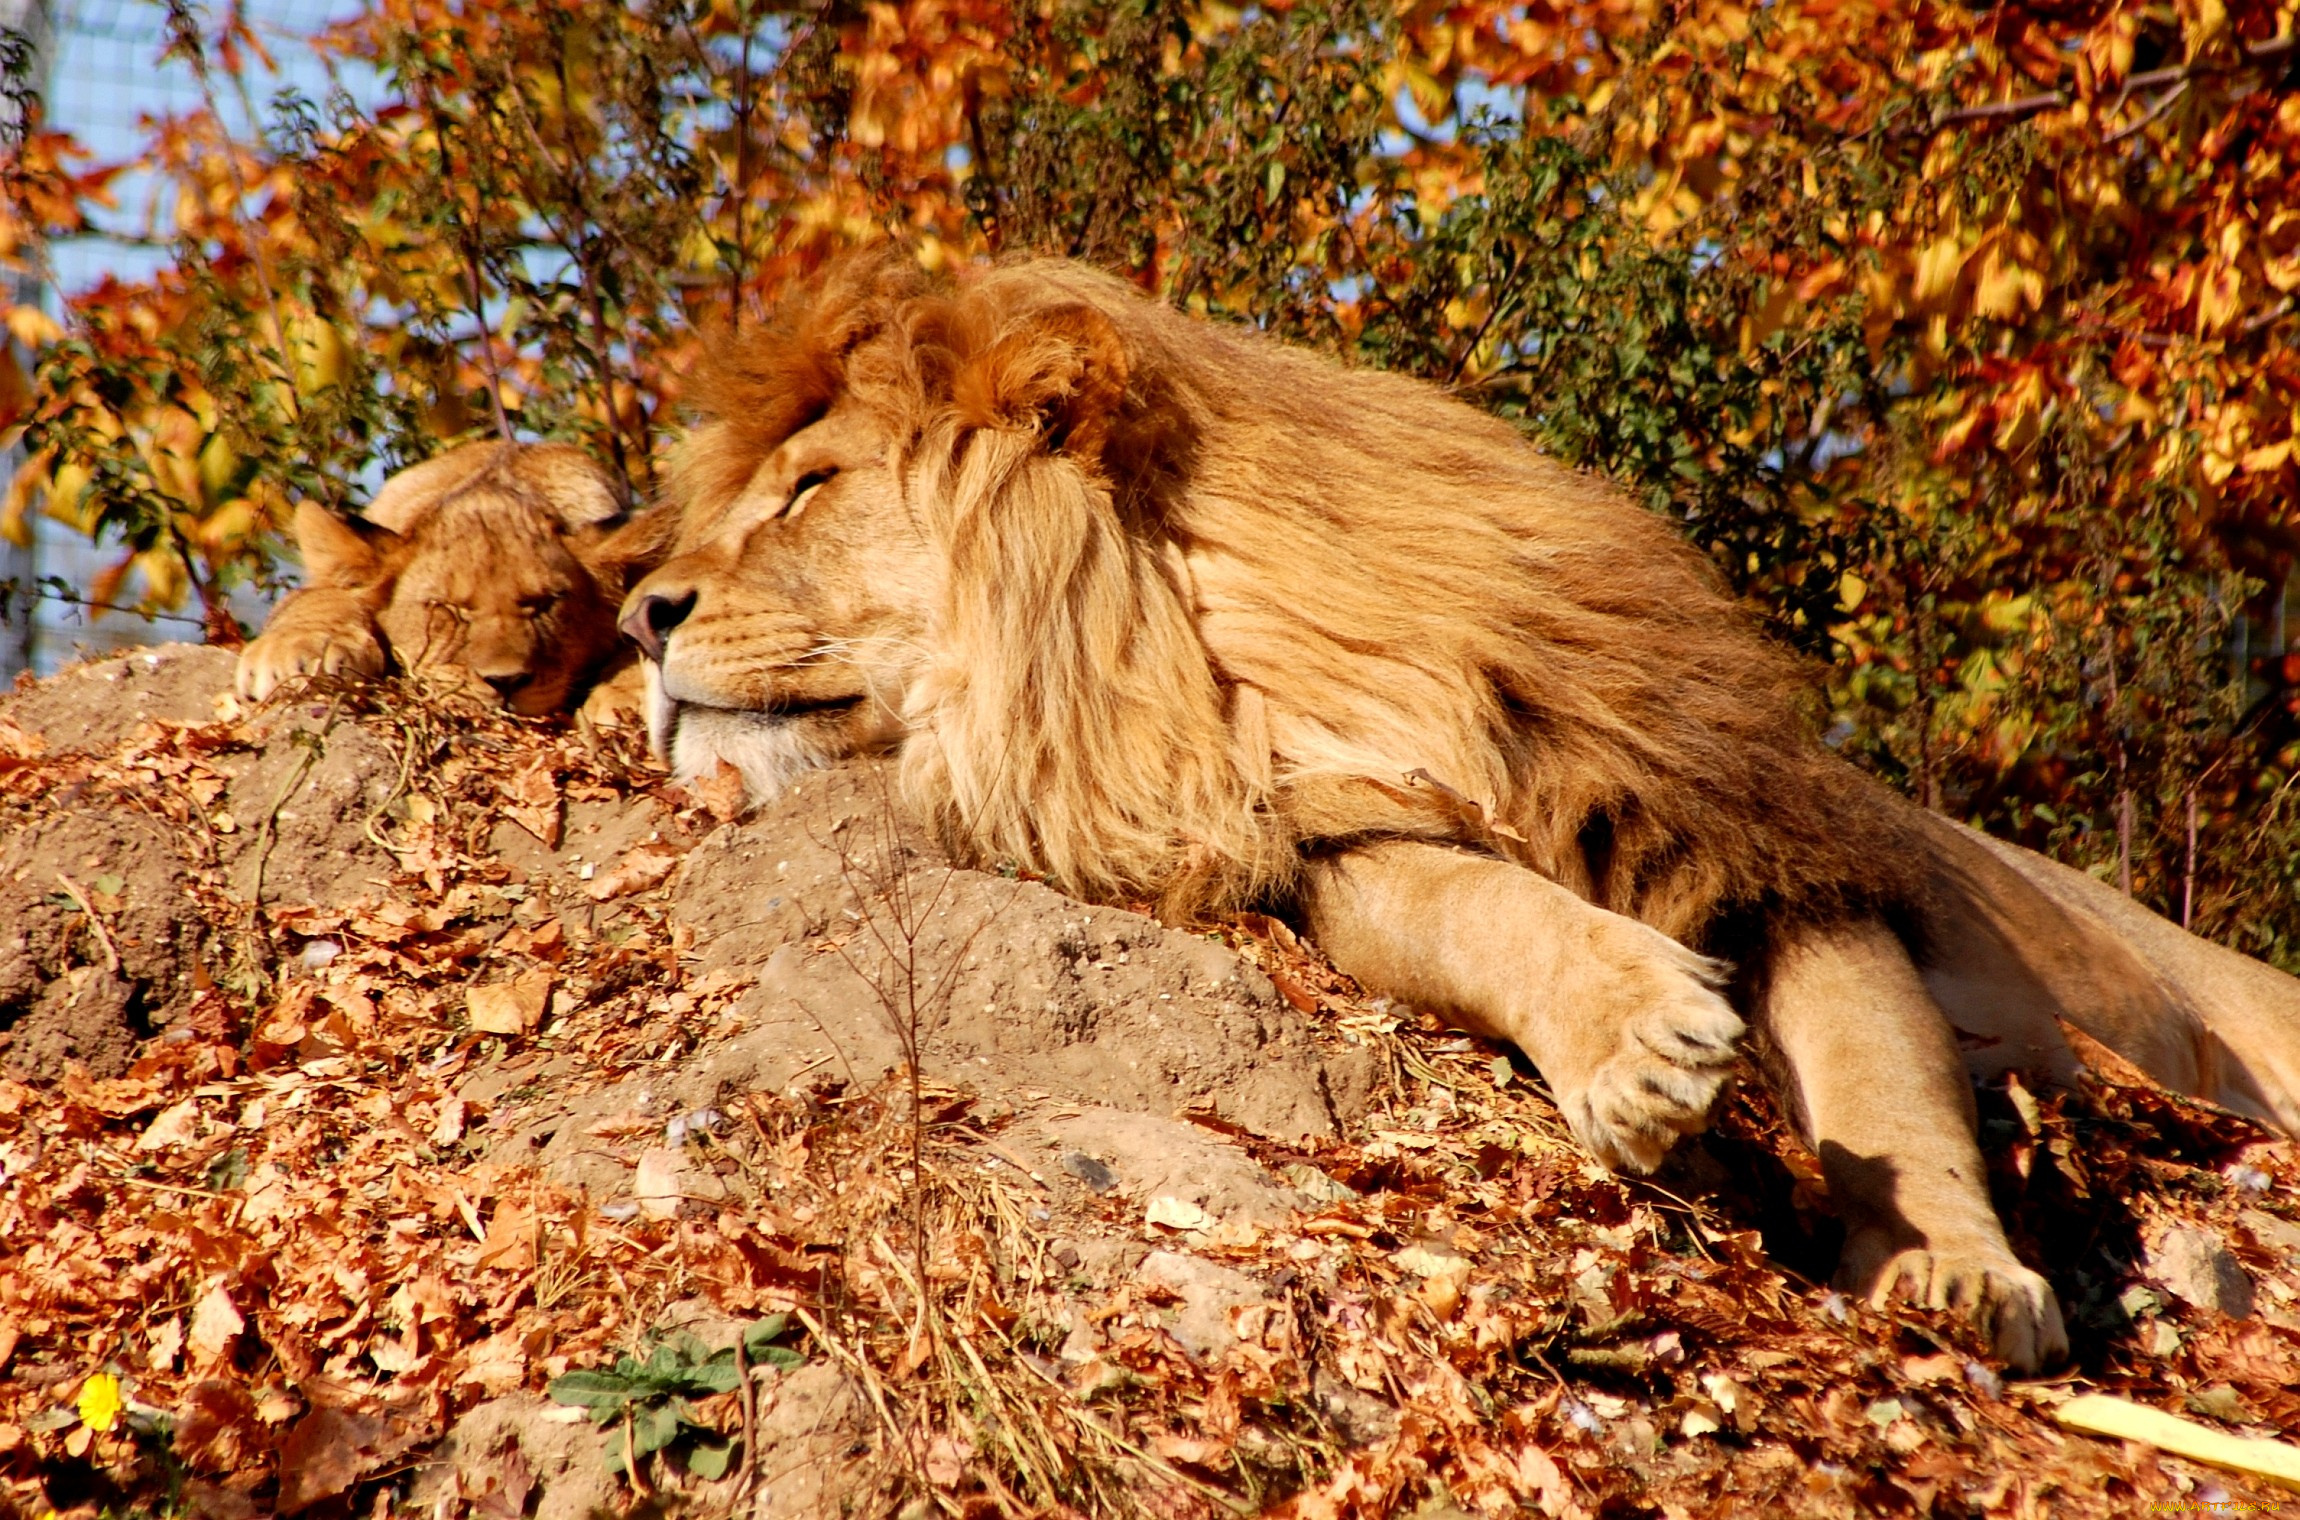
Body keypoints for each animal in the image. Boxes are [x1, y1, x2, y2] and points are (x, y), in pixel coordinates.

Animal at [235, 441, 667, 722]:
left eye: (544, 603)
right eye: (450, 609)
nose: (505, 682)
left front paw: (632, 697)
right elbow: (320, 599)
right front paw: (292, 653)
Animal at [611, 255, 2300, 1370]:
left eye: (811, 489)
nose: (640, 615)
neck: (1218, 652)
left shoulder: (1758, 845)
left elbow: (1889, 1079)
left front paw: (1955, 1274)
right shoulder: (1320, 839)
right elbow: (1479, 905)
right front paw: (1644, 1043)